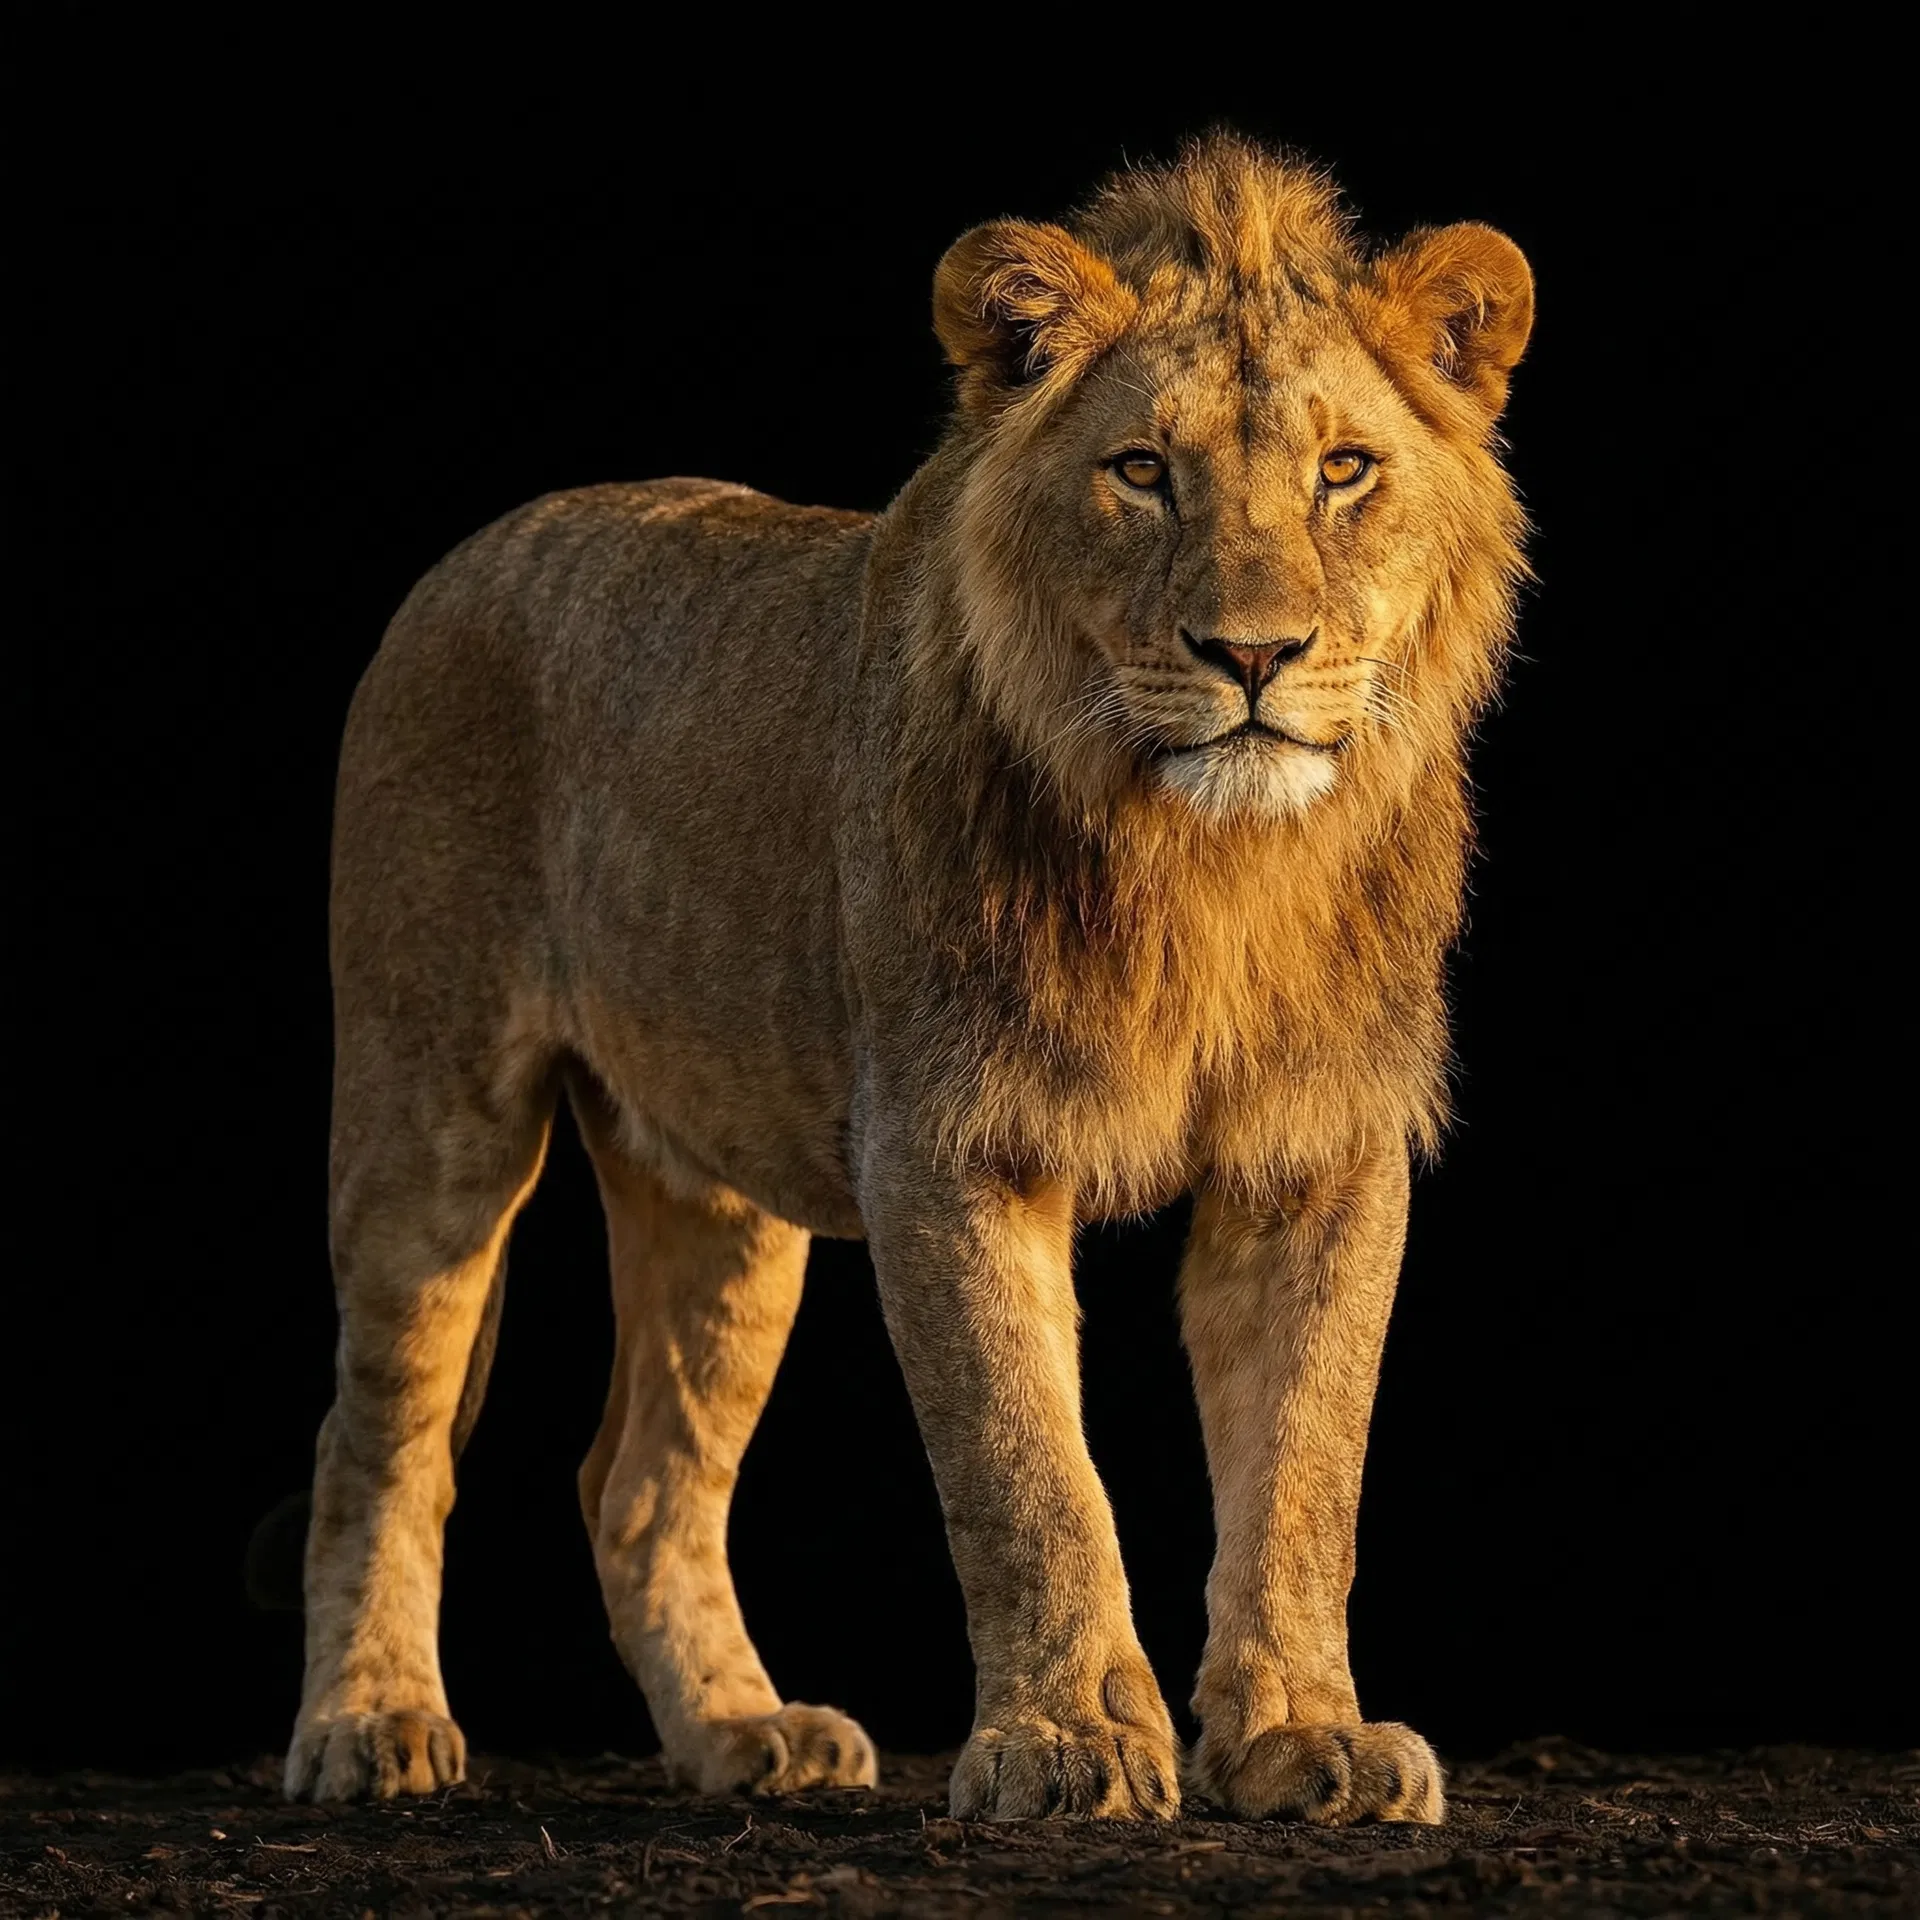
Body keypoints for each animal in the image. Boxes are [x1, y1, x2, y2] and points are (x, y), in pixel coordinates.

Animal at [286, 132, 1532, 1825]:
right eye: (1142, 471)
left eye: (1344, 470)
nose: (1253, 654)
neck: (1205, 869)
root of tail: (475, 553)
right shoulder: (953, 1139)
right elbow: (1026, 1469)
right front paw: (1068, 1745)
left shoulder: (1319, 1149)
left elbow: (1305, 1472)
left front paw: (1299, 1740)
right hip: (432, 1109)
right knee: (383, 1432)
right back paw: (369, 1723)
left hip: (716, 1195)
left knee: (639, 1481)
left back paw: (747, 1737)